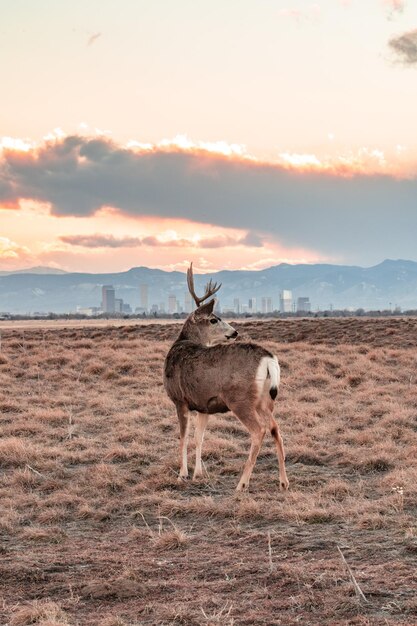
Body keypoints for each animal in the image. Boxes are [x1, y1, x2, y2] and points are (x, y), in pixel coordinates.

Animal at [162, 264, 290, 492]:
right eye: (214, 319)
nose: (235, 332)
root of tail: (268, 358)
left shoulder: (180, 399)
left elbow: (183, 437)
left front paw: (182, 475)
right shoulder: (203, 404)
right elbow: (199, 438)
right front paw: (198, 473)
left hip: (240, 399)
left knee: (259, 430)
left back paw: (242, 483)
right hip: (265, 400)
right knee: (276, 428)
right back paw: (284, 481)